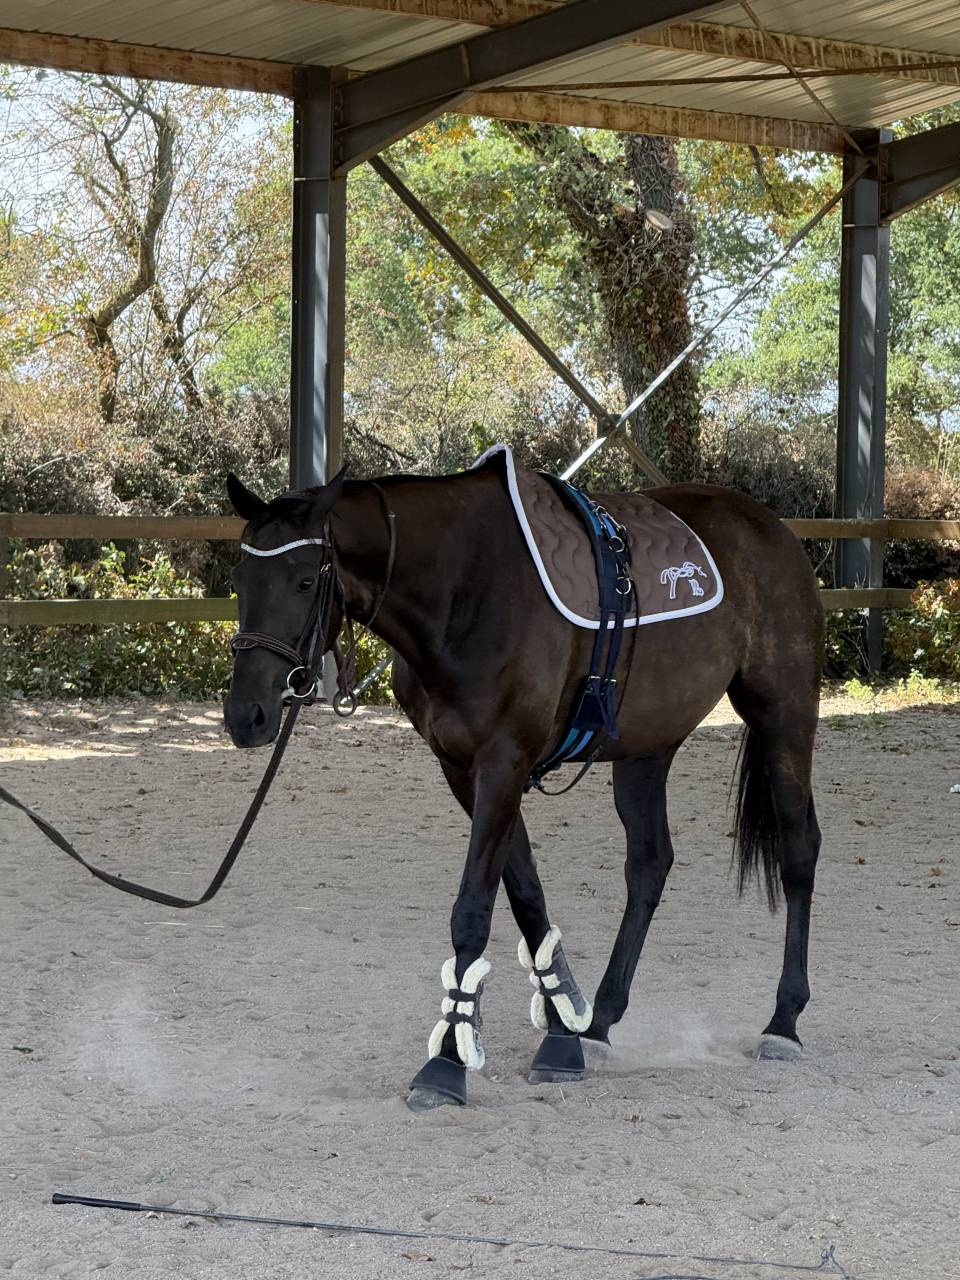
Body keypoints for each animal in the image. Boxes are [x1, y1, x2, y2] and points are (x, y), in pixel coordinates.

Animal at [223, 453, 823, 1111]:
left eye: (306, 582)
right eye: (241, 581)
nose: (247, 715)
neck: (463, 588)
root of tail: (770, 527)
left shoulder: (503, 762)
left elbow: (474, 908)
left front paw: (447, 1060)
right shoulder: (462, 769)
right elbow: (525, 893)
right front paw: (563, 1031)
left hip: (785, 716)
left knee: (798, 850)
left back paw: (784, 1022)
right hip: (646, 749)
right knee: (649, 865)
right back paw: (602, 1021)